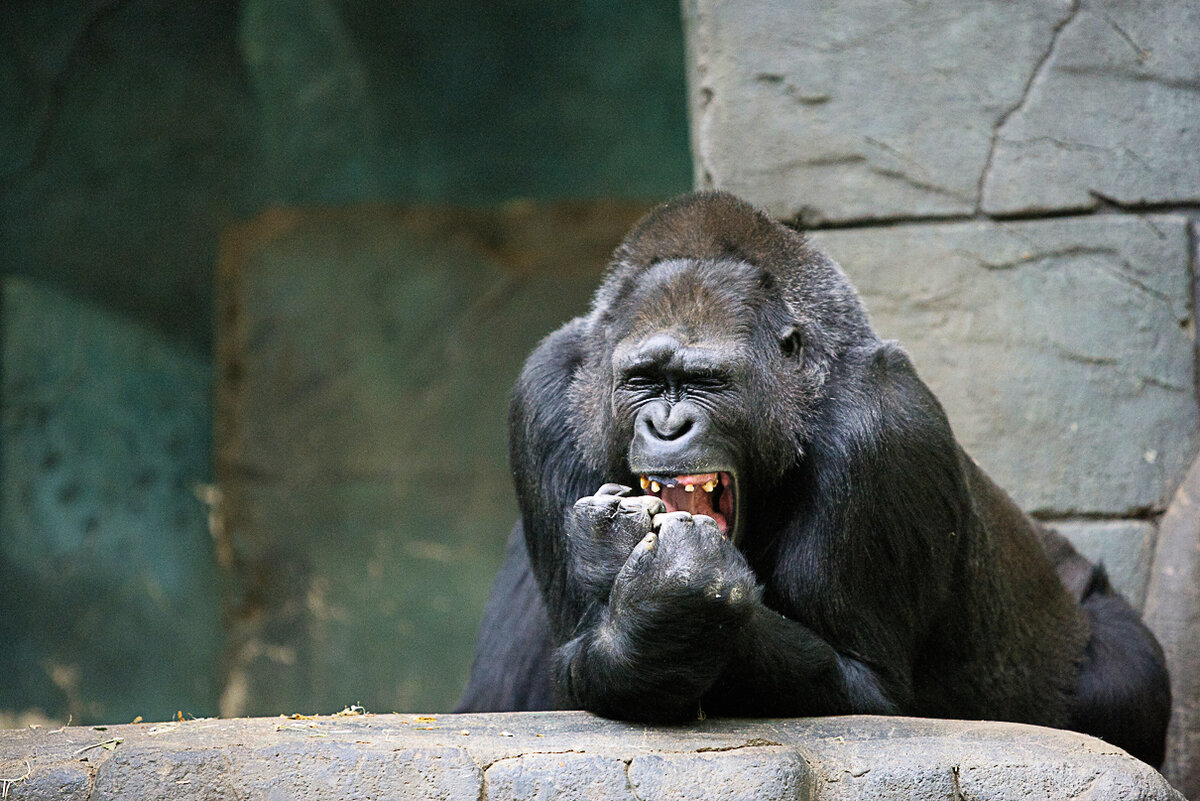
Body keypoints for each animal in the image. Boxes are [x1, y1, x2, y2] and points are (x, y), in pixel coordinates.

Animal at [458, 190, 1171, 767]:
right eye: (643, 381)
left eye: (706, 381)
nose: (666, 425)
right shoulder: (545, 393)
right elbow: (587, 658)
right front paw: (655, 612)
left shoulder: (884, 423)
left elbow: (866, 688)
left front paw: (671, 599)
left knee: (1125, 683)